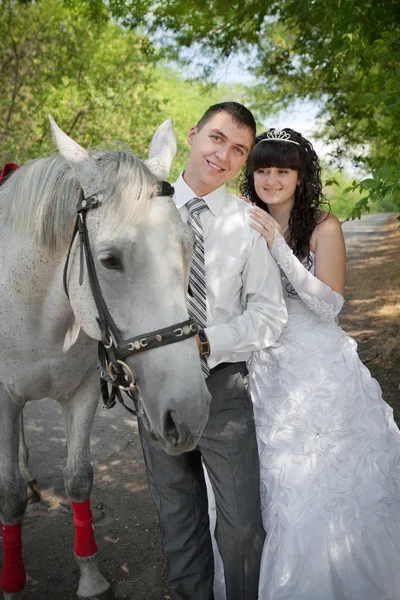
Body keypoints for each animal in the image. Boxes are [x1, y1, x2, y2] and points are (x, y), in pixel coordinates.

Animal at [0, 116, 211, 596]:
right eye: (110, 260)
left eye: (189, 246)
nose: (189, 413)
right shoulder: (1, 400)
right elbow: (9, 497)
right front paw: (13, 583)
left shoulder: (82, 393)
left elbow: (79, 478)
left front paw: (91, 576)